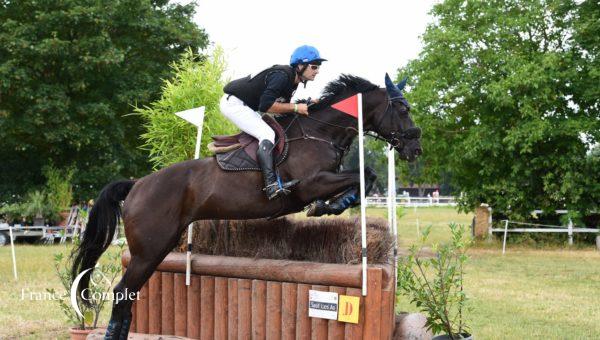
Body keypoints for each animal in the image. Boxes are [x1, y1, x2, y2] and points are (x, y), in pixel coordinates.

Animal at [71, 73, 422, 338]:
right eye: (402, 108)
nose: (415, 148)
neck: (319, 133)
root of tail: (137, 184)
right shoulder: (310, 184)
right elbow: (362, 175)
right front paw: (327, 206)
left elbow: (366, 176)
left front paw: (335, 204)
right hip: (148, 250)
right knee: (122, 294)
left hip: (159, 248)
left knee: (128, 296)